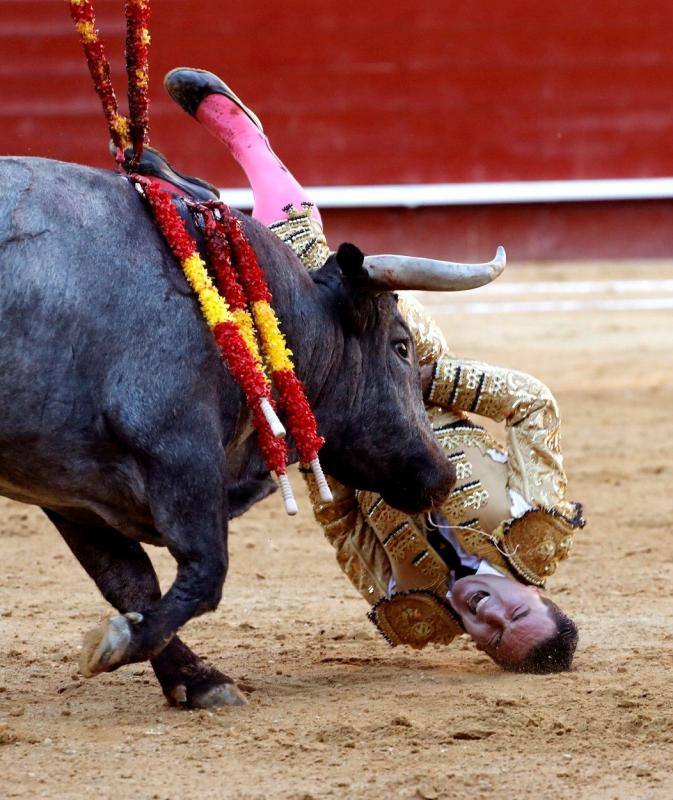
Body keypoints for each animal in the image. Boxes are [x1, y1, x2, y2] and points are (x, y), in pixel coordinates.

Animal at [0, 156, 452, 708]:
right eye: (401, 347)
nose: (443, 474)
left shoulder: (69, 492)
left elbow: (129, 582)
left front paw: (195, 679)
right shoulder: (180, 450)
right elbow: (205, 571)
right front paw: (123, 645)